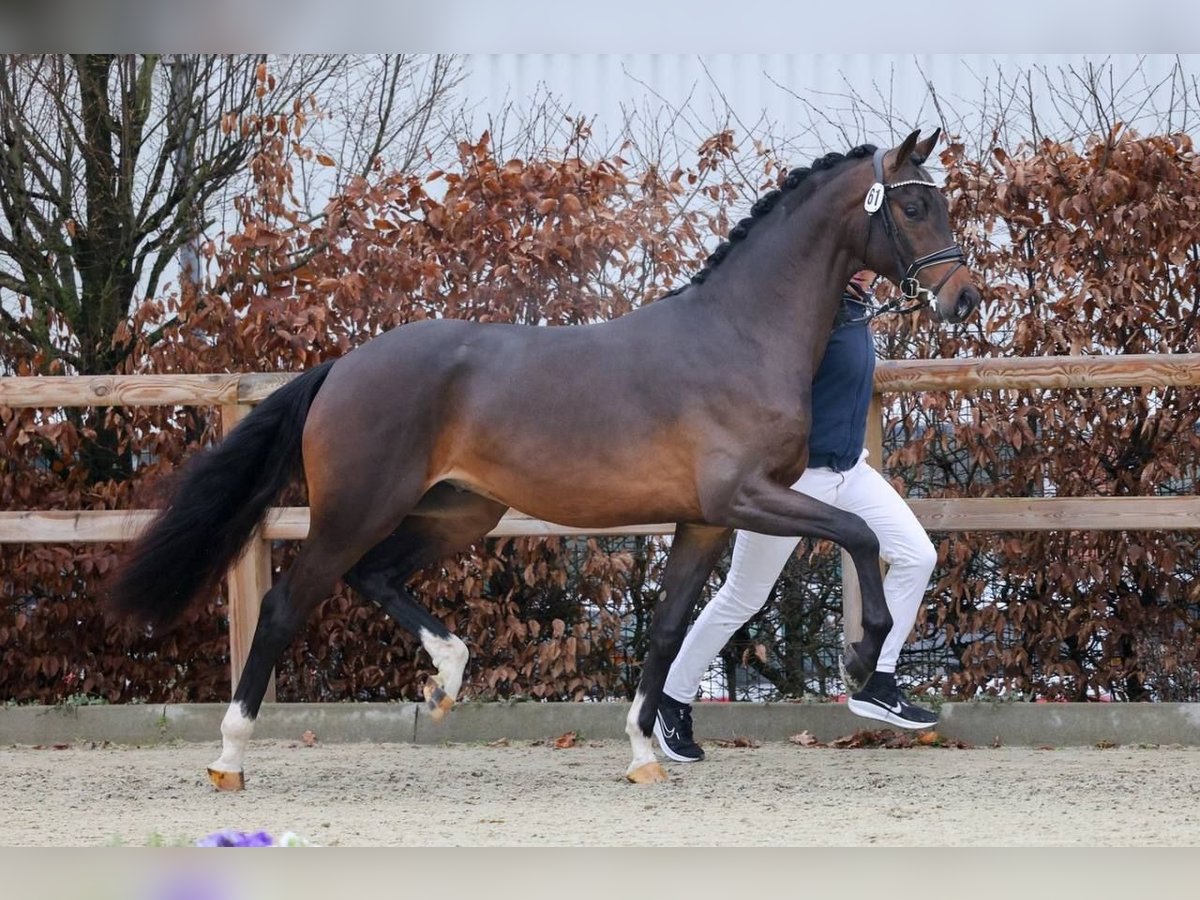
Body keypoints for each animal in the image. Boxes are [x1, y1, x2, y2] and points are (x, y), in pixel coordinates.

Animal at [110, 127, 974, 787]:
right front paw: (865, 661)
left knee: (376, 577)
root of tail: (343, 368)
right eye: (914, 204)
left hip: (458, 511)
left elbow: (668, 628)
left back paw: (448, 677)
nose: (963, 299)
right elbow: (858, 534)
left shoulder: (703, 521)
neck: (738, 336)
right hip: (357, 511)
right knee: (286, 606)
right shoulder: (746, 498)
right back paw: (229, 758)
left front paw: (643, 752)